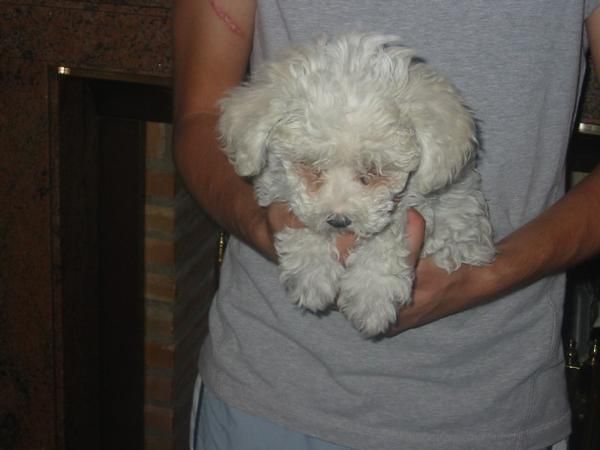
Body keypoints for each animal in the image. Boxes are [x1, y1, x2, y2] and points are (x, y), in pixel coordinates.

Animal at [218, 33, 494, 336]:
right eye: (311, 166)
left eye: (373, 171)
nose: (339, 221)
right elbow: (299, 218)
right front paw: (312, 273)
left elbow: (389, 233)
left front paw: (370, 296)